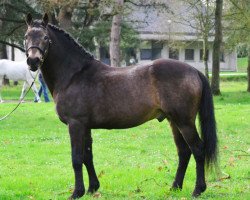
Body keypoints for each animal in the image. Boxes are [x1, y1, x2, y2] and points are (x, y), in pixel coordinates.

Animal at [24, 13, 218, 198]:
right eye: (26, 36)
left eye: (45, 37)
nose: (33, 61)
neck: (75, 75)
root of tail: (194, 71)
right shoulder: (85, 126)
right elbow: (88, 156)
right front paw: (92, 188)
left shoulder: (75, 124)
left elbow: (77, 159)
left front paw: (77, 192)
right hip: (173, 121)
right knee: (184, 152)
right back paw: (175, 187)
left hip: (184, 122)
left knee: (198, 150)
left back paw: (198, 190)